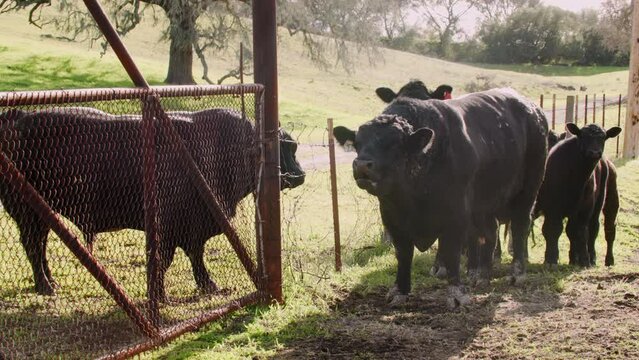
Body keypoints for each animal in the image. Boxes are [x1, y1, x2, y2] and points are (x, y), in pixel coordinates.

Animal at [0, 107, 304, 298]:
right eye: (284, 147)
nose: (300, 174)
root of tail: (18, 117)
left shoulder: (193, 228)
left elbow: (194, 255)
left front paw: (207, 285)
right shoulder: (172, 229)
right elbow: (170, 259)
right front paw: (161, 293)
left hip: (42, 214)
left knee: (39, 245)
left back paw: (49, 282)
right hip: (27, 213)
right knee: (33, 245)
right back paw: (46, 286)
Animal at [336, 88, 552, 308]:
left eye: (394, 144)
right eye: (357, 143)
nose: (362, 165)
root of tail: (532, 109)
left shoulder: (456, 216)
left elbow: (451, 253)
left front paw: (456, 294)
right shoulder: (392, 218)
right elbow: (403, 254)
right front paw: (400, 291)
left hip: (527, 190)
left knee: (519, 227)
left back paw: (517, 273)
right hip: (484, 204)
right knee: (490, 233)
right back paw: (482, 275)